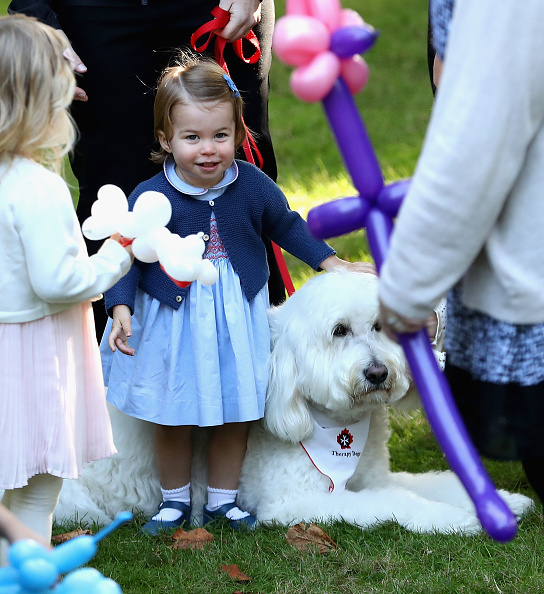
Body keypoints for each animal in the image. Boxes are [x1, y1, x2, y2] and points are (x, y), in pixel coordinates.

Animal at [54, 270, 532, 528]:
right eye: (339, 331)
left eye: (380, 327)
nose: (378, 373)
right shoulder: (298, 502)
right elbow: (396, 503)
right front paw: (458, 519)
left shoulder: (371, 479)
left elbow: (434, 482)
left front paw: (504, 503)